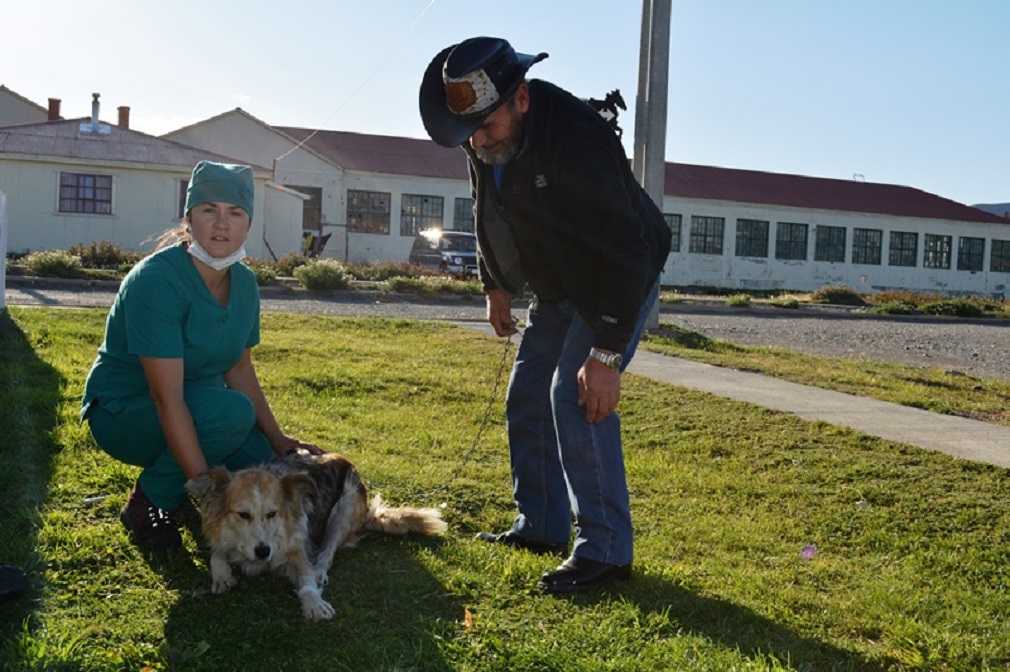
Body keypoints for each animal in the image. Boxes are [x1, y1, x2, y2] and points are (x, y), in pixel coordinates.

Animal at [185, 450, 446, 618]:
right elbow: (217, 553)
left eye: (272, 513)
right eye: (243, 514)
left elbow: (306, 576)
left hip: (345, 507)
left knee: (328, 551)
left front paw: (314, 602)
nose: (263, 551)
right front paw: (221, 575)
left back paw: (320, 569)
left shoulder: (297, 548)